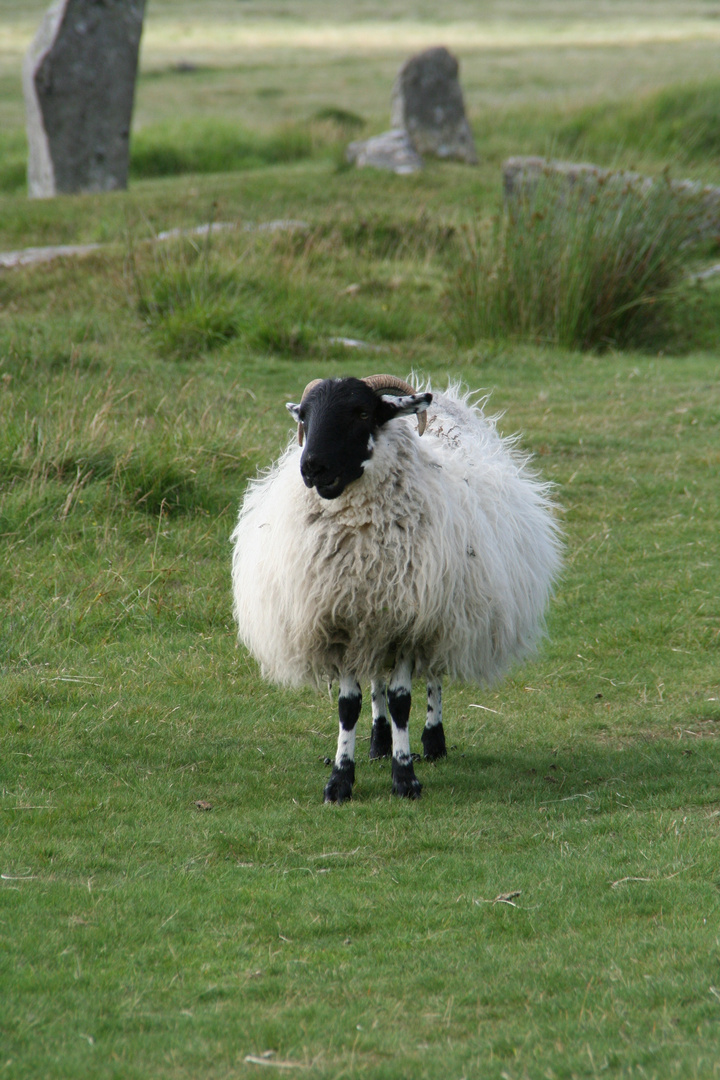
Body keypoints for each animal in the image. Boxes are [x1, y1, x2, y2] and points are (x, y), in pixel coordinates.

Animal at [231, 373, 561, 803]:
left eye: (362, 412)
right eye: (305, 416)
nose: (312, 467)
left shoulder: (409, 623)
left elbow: (403, 701)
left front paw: (405, 777)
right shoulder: (344, 624)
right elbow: (349, 706)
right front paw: (341, 779)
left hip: (441, 611)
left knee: (433, 675)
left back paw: (433, 741)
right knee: (376, 682)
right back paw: (378, 741)